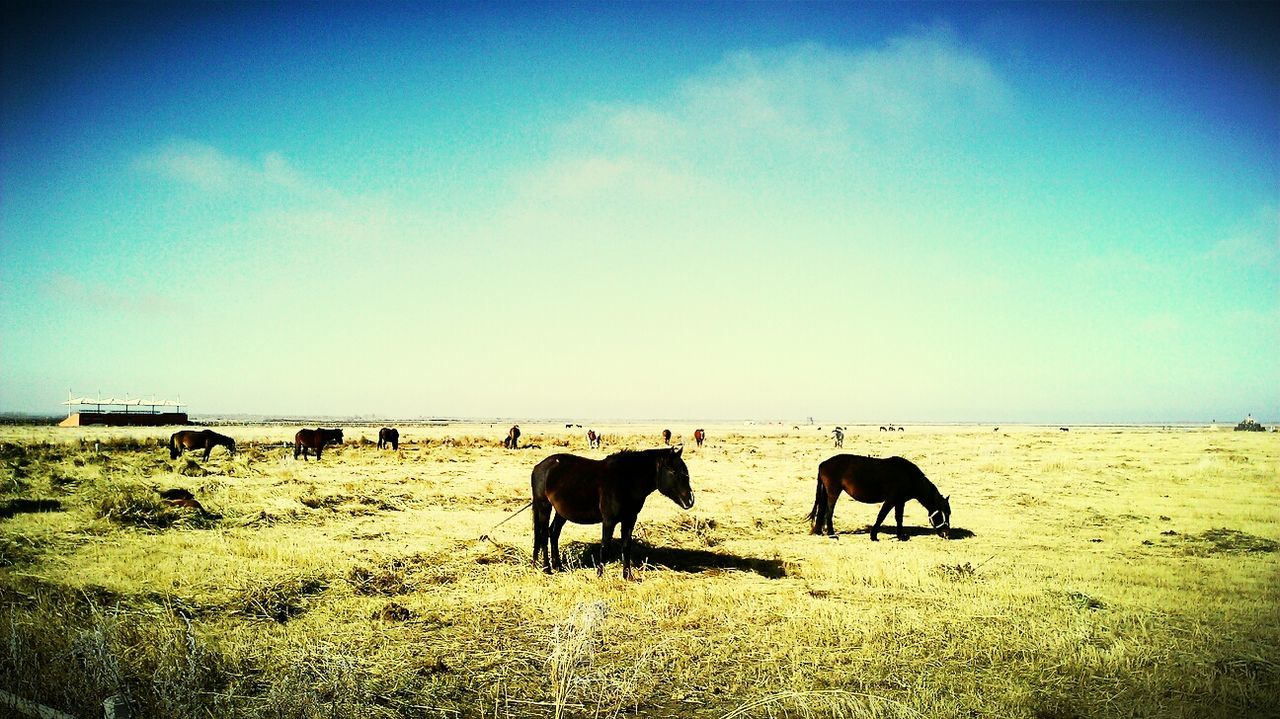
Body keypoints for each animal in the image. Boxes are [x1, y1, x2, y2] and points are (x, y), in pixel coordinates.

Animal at [527, 445, 696, 578]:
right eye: (673, 472)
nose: (690, 500)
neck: (625, 480)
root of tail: (539, 467)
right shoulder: (609, 520)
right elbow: (605, 547)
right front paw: (600, 575)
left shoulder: (629, 519)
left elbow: (626, 547)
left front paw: (628, 576)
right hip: (544, 506)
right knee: (543, 535)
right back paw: (547, 569)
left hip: (561, 512)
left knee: (553, 533)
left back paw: (559, 567)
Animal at [808, 452, 952, 537]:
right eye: (944, 512)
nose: (946, 533)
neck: (909, 476)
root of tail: (823, 464)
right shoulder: (891, 500)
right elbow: (881, 515)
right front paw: (874, 536)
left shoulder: (900, 501)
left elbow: (899, 518)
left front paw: (901, 536)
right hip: (833, 492)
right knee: (829, 512)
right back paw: (832, 534)